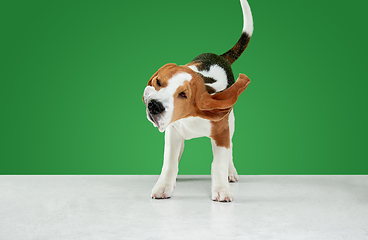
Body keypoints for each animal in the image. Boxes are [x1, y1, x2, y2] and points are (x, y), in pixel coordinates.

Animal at [142, 0, 253, 202]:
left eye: (183, 94)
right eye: (158, 82)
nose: (154, 106)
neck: (190, 116)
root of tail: (219, 57)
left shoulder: (221, 133)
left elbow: (218, 163)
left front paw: (221, 189)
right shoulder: (172, 132)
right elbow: (169, 162)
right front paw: (164, 186)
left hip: (231, 122)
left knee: (230, 148)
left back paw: (230, 172)